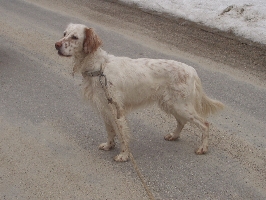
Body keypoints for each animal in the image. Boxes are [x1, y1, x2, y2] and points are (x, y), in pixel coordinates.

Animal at [55, 23, 223, 162]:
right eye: (64, 33)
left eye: (74, 37)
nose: (56, 45)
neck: (99, 68)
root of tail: (192, 70)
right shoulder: (105, 109)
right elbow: (110, 131)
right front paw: (109, 145)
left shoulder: (116, 110)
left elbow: (122, 135)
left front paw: (123, 155)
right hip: (171, 104)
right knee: (182, 122)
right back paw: (173, 136)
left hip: (181, 105)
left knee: (205, 124)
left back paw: (203, 148)